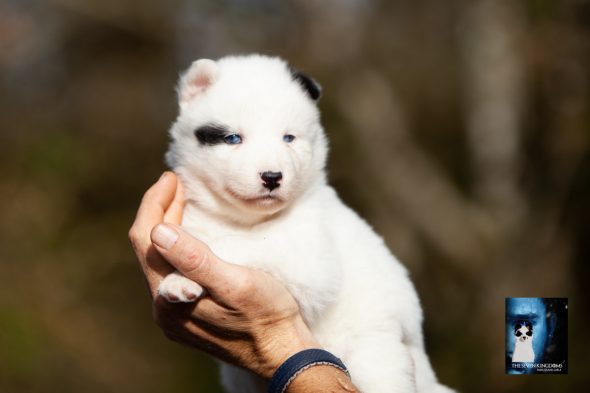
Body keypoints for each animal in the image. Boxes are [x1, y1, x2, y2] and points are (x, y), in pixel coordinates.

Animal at [160, 52, 456, 392]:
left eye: (288, 138)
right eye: (233, 138)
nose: (272, 177)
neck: (243, 219)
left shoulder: (310, 260)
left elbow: (240, 245)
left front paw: (179, 278)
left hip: (376, 358)